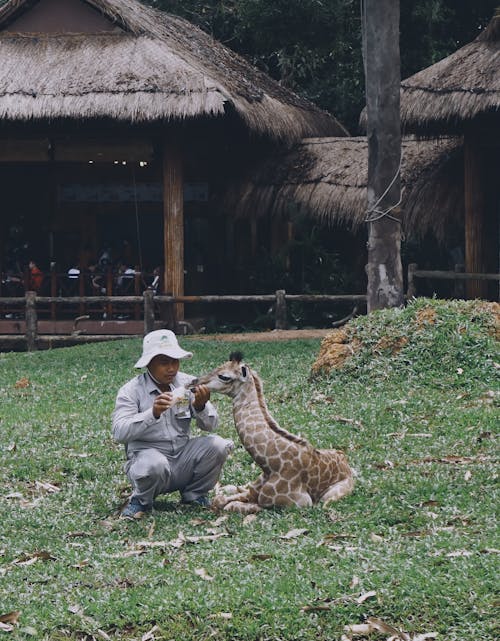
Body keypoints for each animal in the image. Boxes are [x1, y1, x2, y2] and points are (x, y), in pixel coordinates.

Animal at [189, 352, 354, 512]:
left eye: (224, 376)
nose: (193, 383)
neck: (270, 466)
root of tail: (345, 461)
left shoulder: (300, 503)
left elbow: (234, 505)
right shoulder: (254, 490)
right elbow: (223, 499)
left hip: (331, 495)